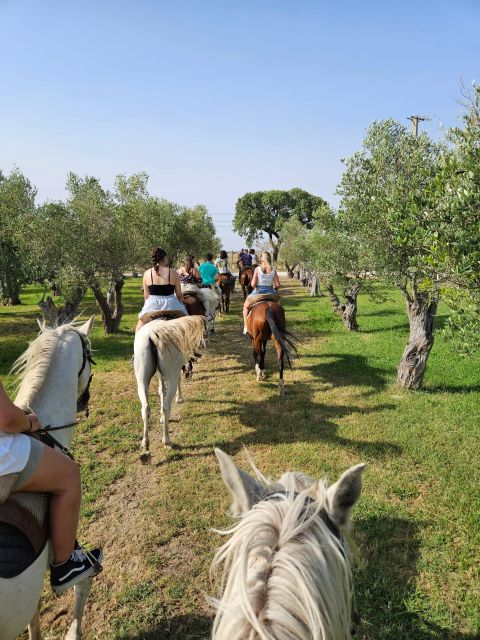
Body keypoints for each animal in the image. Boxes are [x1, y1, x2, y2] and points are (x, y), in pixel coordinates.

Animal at [133, 314, 204, 460]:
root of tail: (153, 334)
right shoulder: (176, 370)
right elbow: (176, 382)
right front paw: (179, 398)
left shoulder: (160, 373)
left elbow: (161, 390)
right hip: (171, 374)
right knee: (167, 406)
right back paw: (166, 440)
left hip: (141, 379)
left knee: (145, 408)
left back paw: (145, 446)